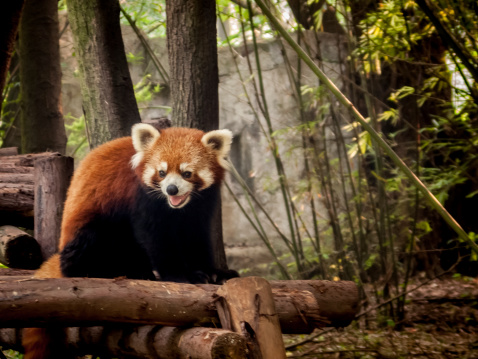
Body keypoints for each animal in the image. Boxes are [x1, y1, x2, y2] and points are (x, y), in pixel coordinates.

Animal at [22, 124, 239, 359]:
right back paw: (126, 272)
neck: (176, 206)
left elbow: (197, 237)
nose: (171, 189)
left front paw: (212, 272)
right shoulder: (141, 196)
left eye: (187, 173)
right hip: (93, 230)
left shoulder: (201, 206)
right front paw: (179, 276)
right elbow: (155, 238)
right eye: (161, 173)